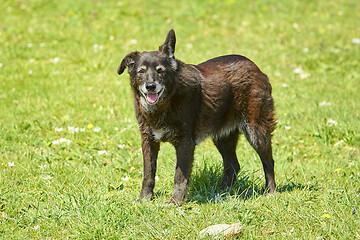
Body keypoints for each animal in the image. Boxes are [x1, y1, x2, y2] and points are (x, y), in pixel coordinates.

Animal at [117, 29, 276, 205]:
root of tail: (258, 69)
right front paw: (144, 198)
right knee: (233, 165)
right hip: (222, 137)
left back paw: (270, 191)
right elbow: (148, 173)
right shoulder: (148, 141)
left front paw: (175, 202)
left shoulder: (185, 143)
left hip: (256, 131)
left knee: (268, 161)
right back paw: (219, 194)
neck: (166, 103)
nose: (150, 86)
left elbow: (180, 176)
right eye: (141, 72)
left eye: (160, 71)